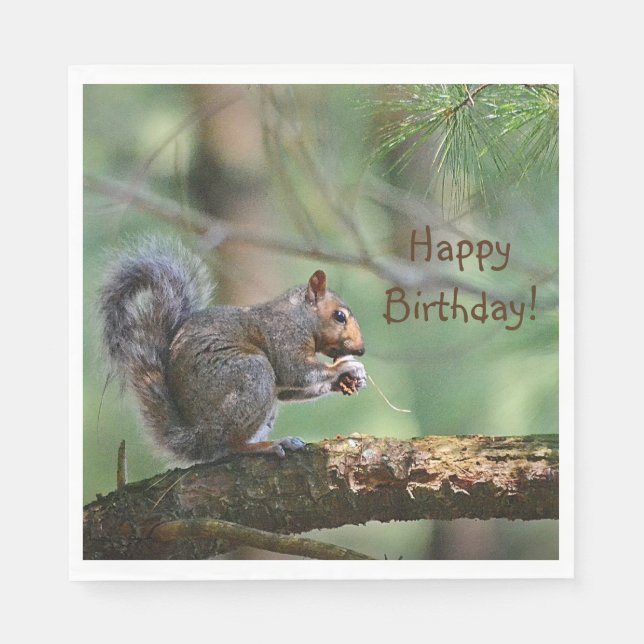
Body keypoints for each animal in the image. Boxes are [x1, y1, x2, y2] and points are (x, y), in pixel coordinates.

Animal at [99, 238, 367, 464]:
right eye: (339, 316)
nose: (362, 350)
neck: (298, 316)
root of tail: (200, 436)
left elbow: (290, 390)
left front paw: (350, 380)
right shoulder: (283, 336)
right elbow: (297, 371)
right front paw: (345, 366)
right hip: (252, 376)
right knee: (230, 446)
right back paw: (266, 446)